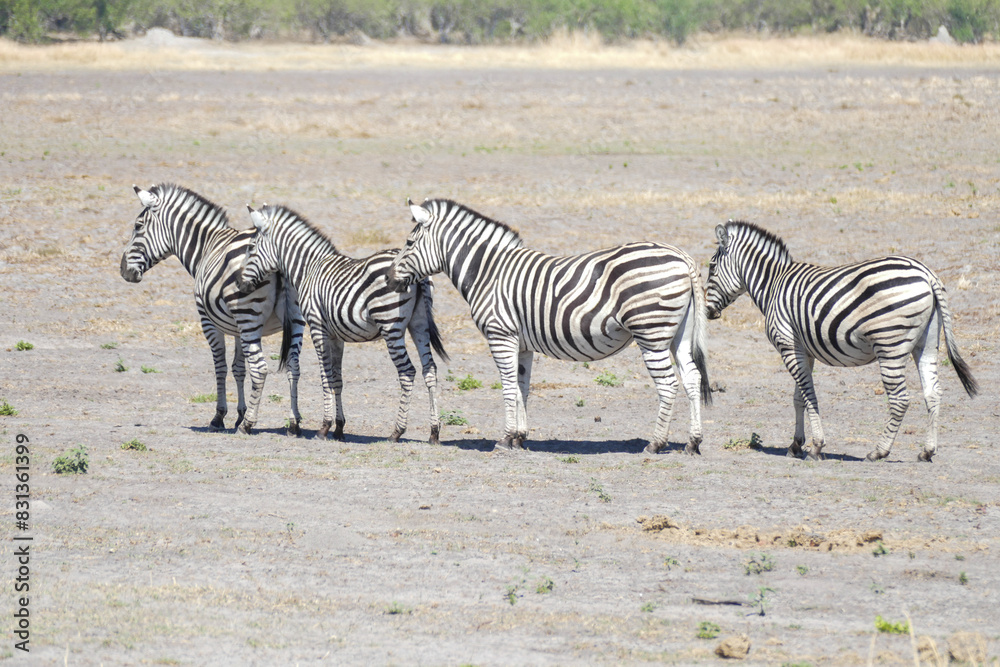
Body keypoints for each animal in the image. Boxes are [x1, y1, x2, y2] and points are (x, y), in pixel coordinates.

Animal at [120, 184, 306, 435]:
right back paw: (293, 422)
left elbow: (220, 366)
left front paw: (221, 417)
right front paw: (240, 413)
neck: (207, 247)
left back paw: (248, 425)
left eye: (138, 226)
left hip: (248, 316)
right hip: (293, 318)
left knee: (260, 368)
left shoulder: (208, 320)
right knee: (293, 366)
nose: (123, 271)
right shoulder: (237, 328)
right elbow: (238, 368)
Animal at [237, 204, 449, 443]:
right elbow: (337, 379)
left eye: (251, 248)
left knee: (407, 372)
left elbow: (325, 377)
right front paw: (339, 428)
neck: (309, 268)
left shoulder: (317, 327)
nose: (239, 284)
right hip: (419, 324)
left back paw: (396, 431)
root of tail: (418, 275)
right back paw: (434, 431)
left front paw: (324, 427)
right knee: (429, 370)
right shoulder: (336, 335)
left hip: (391, 325)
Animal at [385, 198, 712, 454]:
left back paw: (656, 443)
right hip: (679, 335)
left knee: (668, 384)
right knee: (692, 378)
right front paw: (519, 437)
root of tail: (682, 257)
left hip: (651, 333)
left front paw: (504, 438)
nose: (388, 278)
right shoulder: (521, 343)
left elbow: (507, 386)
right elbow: (522, 386)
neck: (488, 272)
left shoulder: (500, 334)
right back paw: (692, 442)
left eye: (409, 244)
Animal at [705, 220, 978, 462]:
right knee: (933, 393)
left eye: (711, 268)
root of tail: (927, 274)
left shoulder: (787, 345)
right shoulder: (803, 350)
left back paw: (878, 452)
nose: (708, 312)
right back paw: (927, 451)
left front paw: (816, 446)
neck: (773, 284)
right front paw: (795, 445)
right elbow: (798, 398)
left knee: (900, 399)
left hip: (889, 344)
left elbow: (808, 394)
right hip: (927, 342)